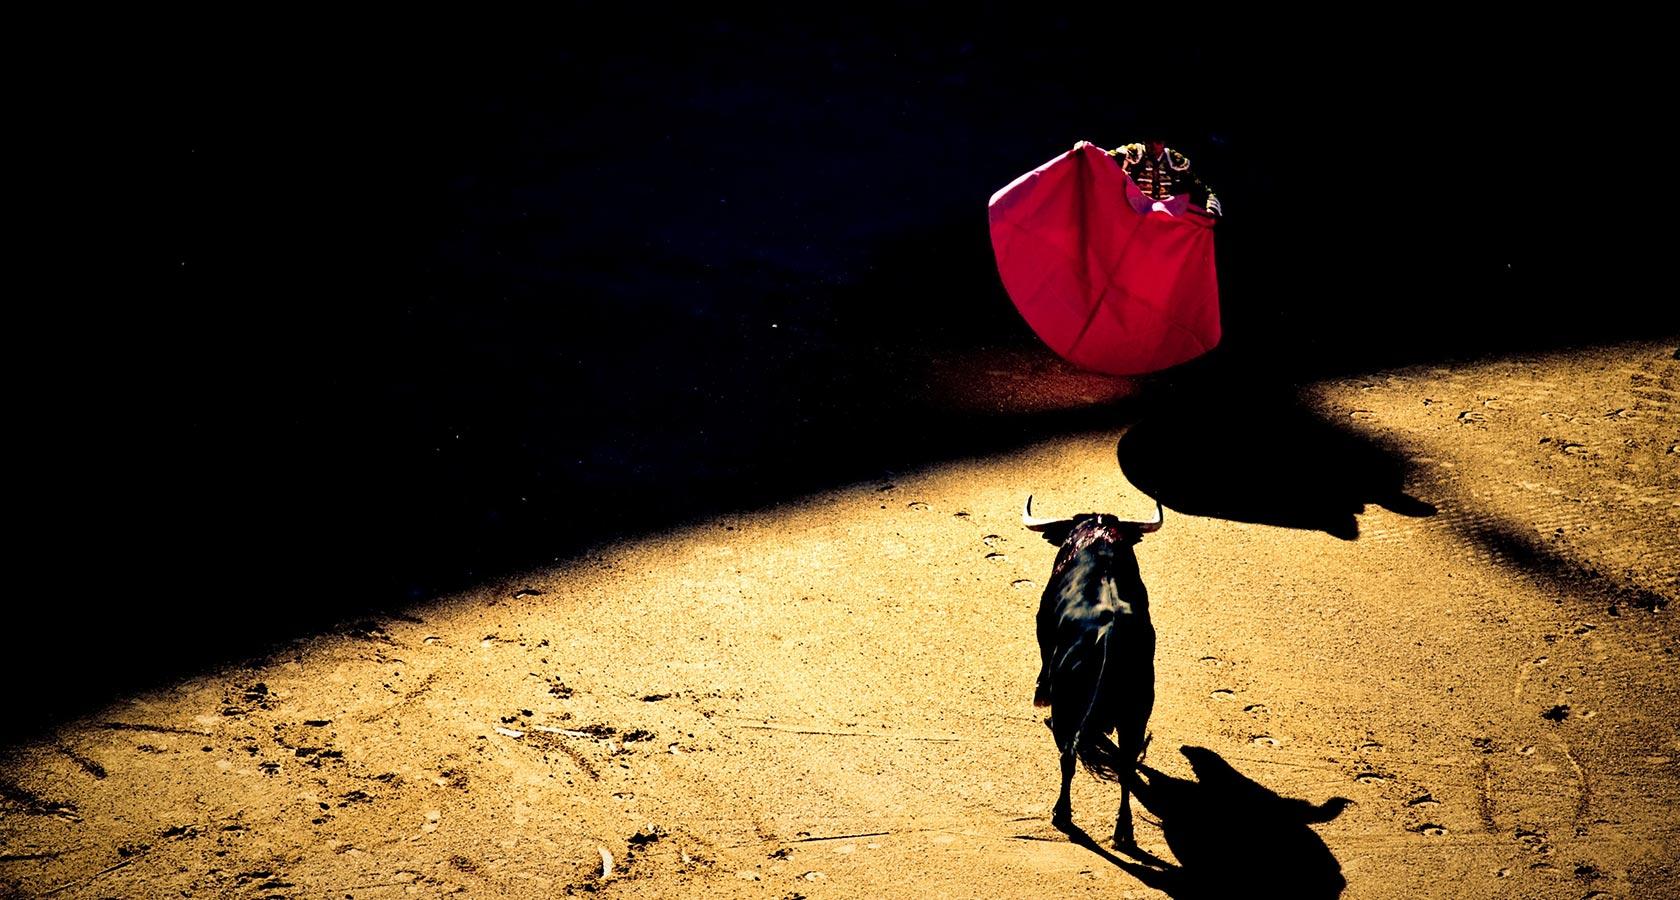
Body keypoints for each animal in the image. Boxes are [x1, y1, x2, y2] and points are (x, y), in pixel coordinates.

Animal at [1024, 494, 1162, 848]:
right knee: (1126, 766)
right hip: (1136, 712)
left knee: (1068, 757)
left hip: (1070, 707)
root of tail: (1110, 634)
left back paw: (1062, 814)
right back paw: (1123, 831)